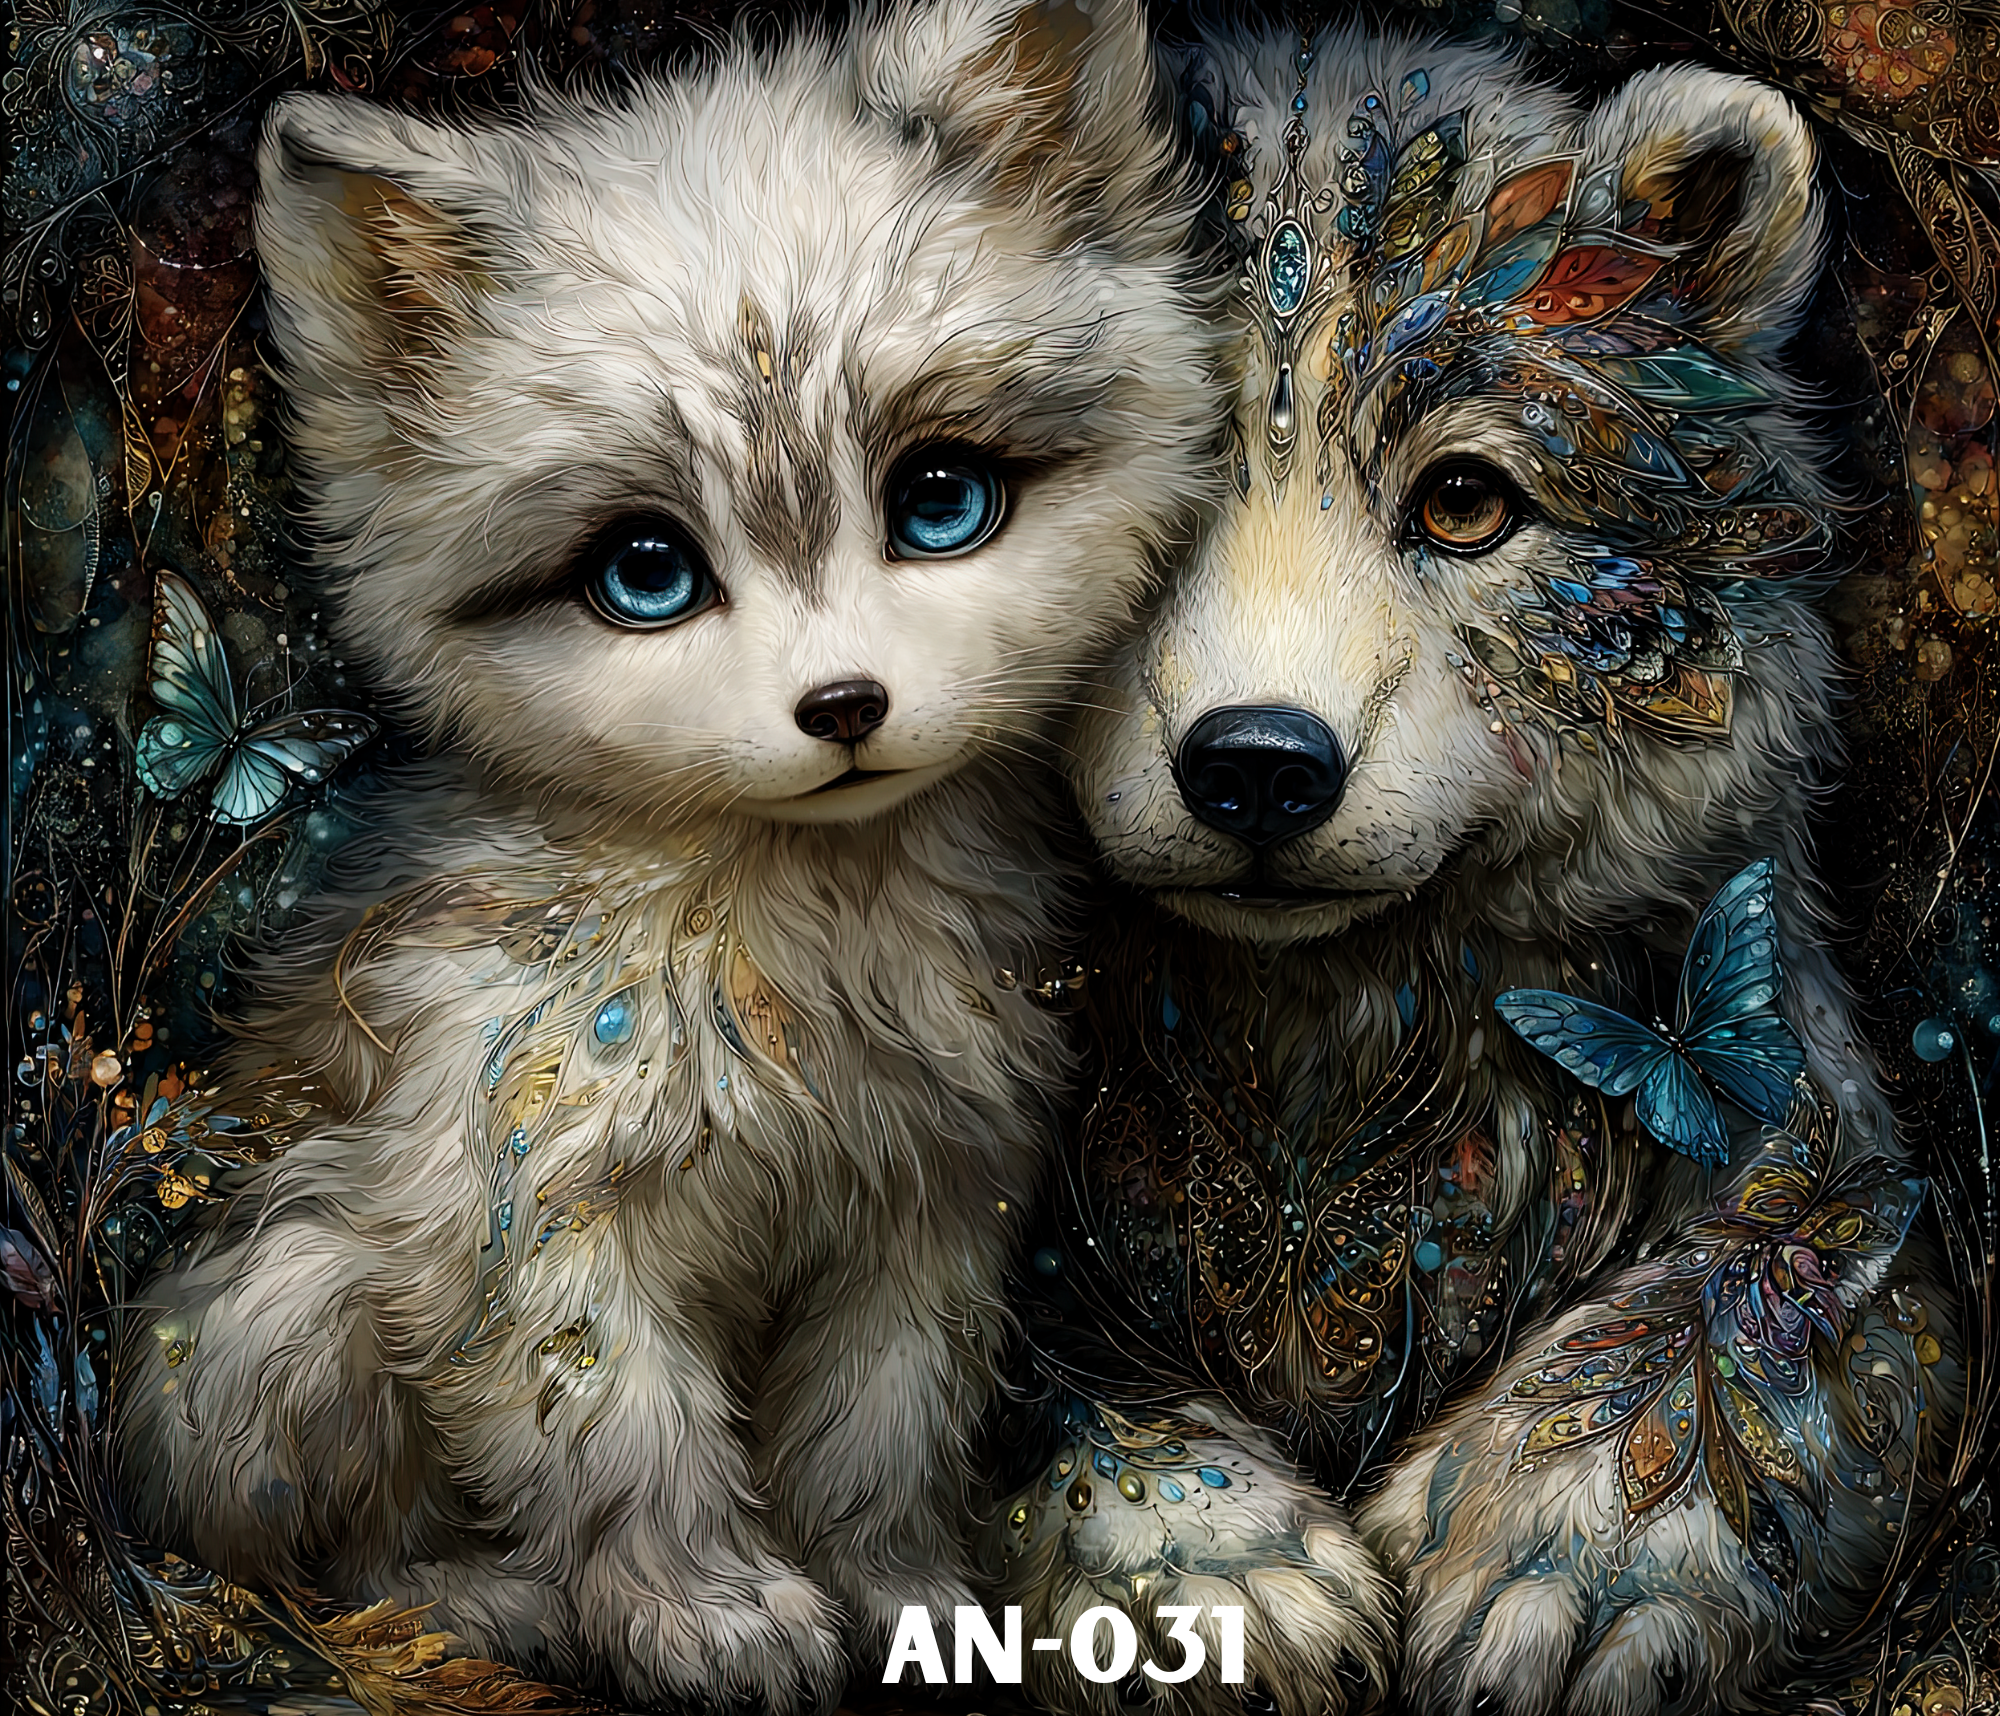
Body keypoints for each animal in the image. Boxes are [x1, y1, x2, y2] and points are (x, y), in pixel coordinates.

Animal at [114, 2, 1222, 1707]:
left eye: (942, 501)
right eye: (646, 576)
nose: (844, 707)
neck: (803, 946)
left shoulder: (926, 1205)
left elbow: (880, 1439)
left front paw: (898, 1601)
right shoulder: (520, 1206)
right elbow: (616, 1434)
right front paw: (703, 1618)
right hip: (286, 1298)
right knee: (322, 1550)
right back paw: (470, 1600)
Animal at [986, 19, 1965, 1716]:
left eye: (1463, 499)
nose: (1259, 761)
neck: (1317, 1065)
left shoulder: (1781, 1076)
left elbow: (1780, 1266)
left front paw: (1564, 1564)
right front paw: (1213, 1574)